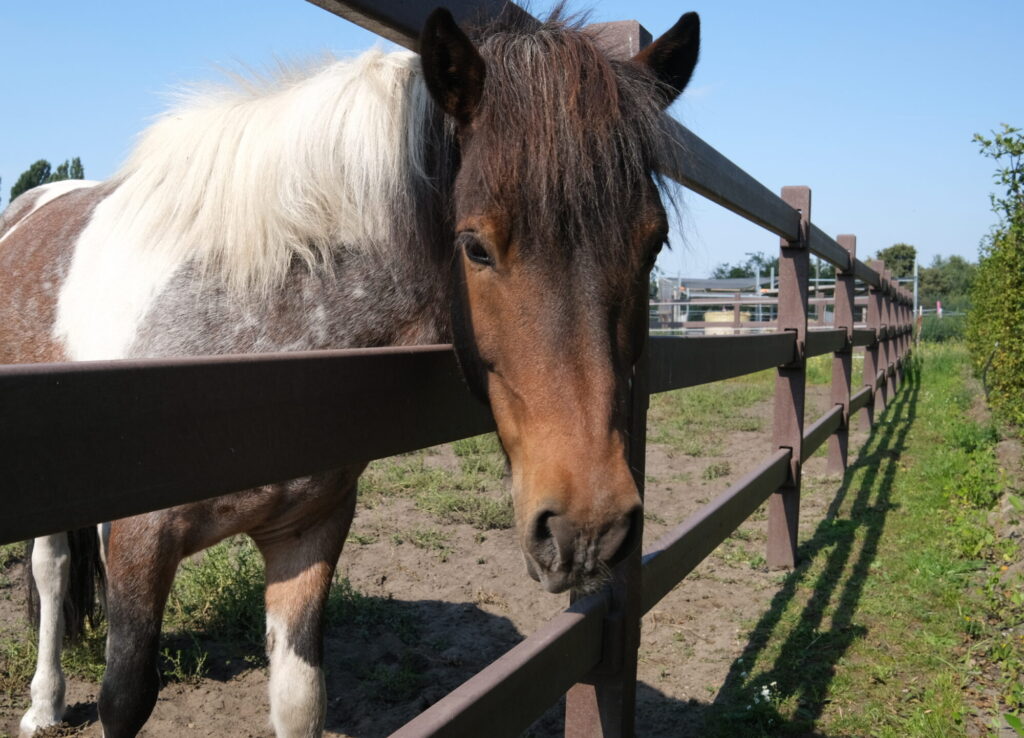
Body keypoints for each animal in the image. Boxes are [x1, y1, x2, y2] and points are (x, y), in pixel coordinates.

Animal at [0, 7, 699, 736]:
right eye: (475, 246)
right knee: (51, 568)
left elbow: (299, 699)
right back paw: (44, 704)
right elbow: (124, 697)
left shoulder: (308, 533)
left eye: (653, 244)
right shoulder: (139, 543)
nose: (589, 528)